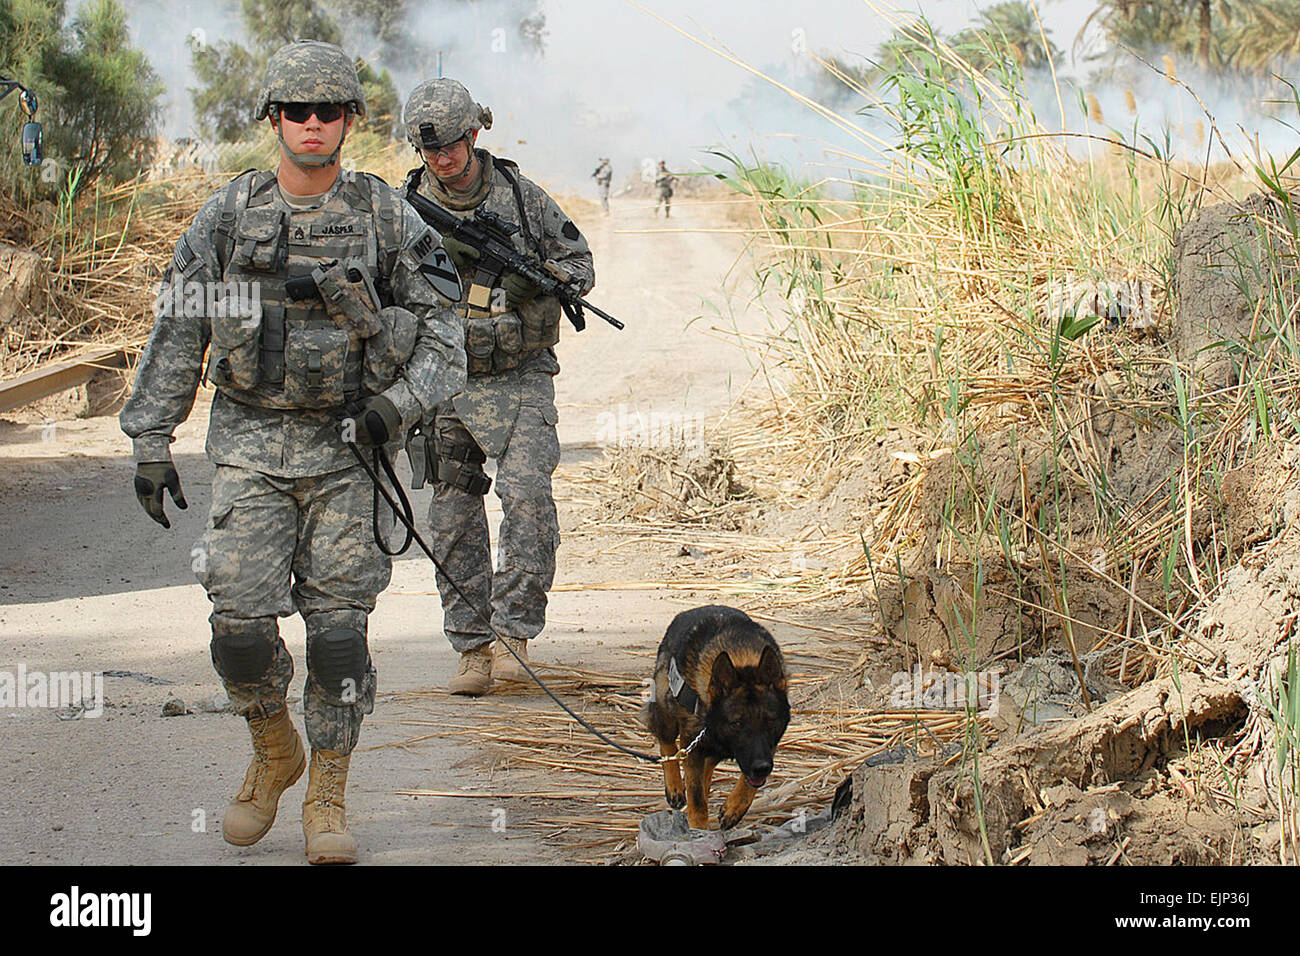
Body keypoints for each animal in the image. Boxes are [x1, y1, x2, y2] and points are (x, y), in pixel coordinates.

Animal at [642, 613, 785, 832]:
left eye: (770, 722)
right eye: (737, 724)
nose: (762, 768)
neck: (741, 659)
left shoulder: (767, 749)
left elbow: (746, 783)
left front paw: (734, 807)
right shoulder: (692, 745)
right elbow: (696, 799)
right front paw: (699, 830)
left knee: (706, 767)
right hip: (666, 710)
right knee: (667, 745)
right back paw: (674, 786)